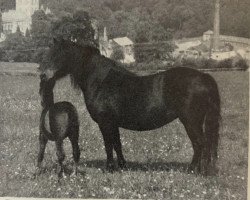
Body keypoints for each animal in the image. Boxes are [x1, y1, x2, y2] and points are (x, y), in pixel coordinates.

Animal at [43, 38, 221, 175]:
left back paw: (199, 172)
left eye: (59, 55)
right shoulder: (113, 123)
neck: (101, 81)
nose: (44, 75)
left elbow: (108, 145)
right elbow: (117, 144)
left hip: (191, 121)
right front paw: (122, 166)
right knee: (200, 145)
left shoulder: (105, 122)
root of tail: (204, 76)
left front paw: (110, 168)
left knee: (201, 144)